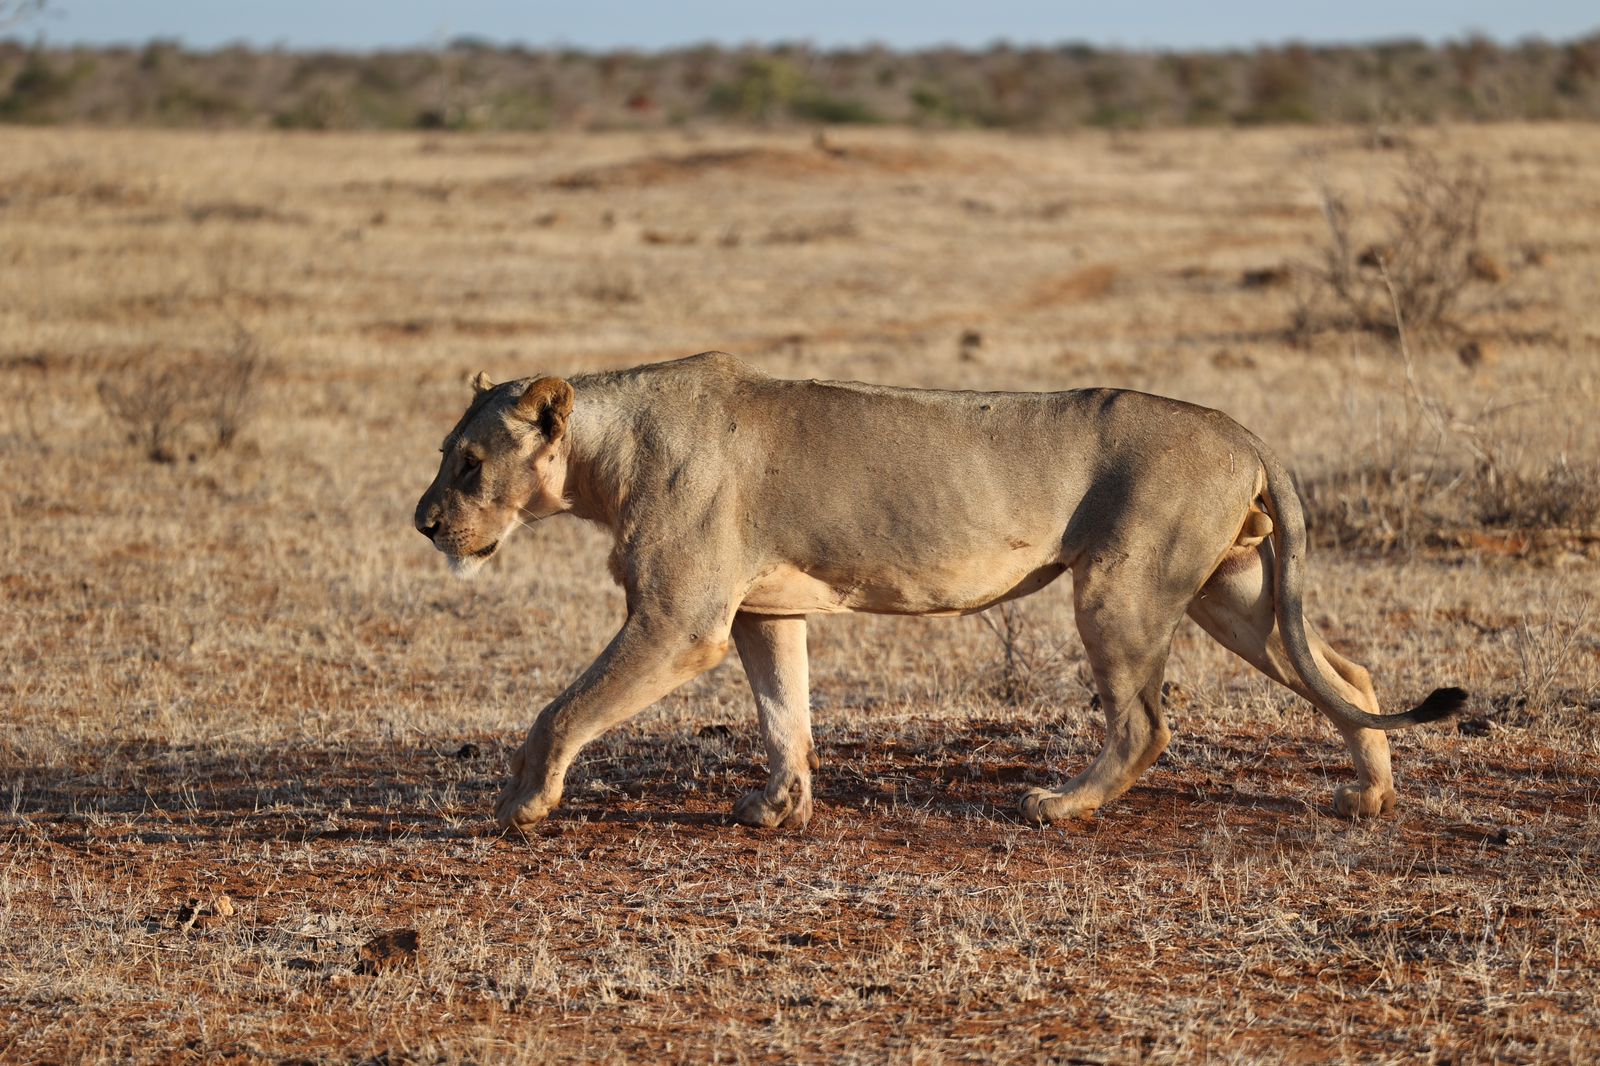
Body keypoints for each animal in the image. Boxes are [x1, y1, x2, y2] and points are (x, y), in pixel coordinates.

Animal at [414, 353, 1465, 832]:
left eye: (469, 464)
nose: (423, 522)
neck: (607, 457)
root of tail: (1242, 428)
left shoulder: (680, 621)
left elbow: (561, 709)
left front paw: (523, 802)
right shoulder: (765, 611)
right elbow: (784, 715)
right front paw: (779, 809)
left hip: (1122, 586)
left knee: (1146, 723)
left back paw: (1060, 805)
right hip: (1232, 593)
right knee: (1352, 675)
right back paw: (1371, 794)